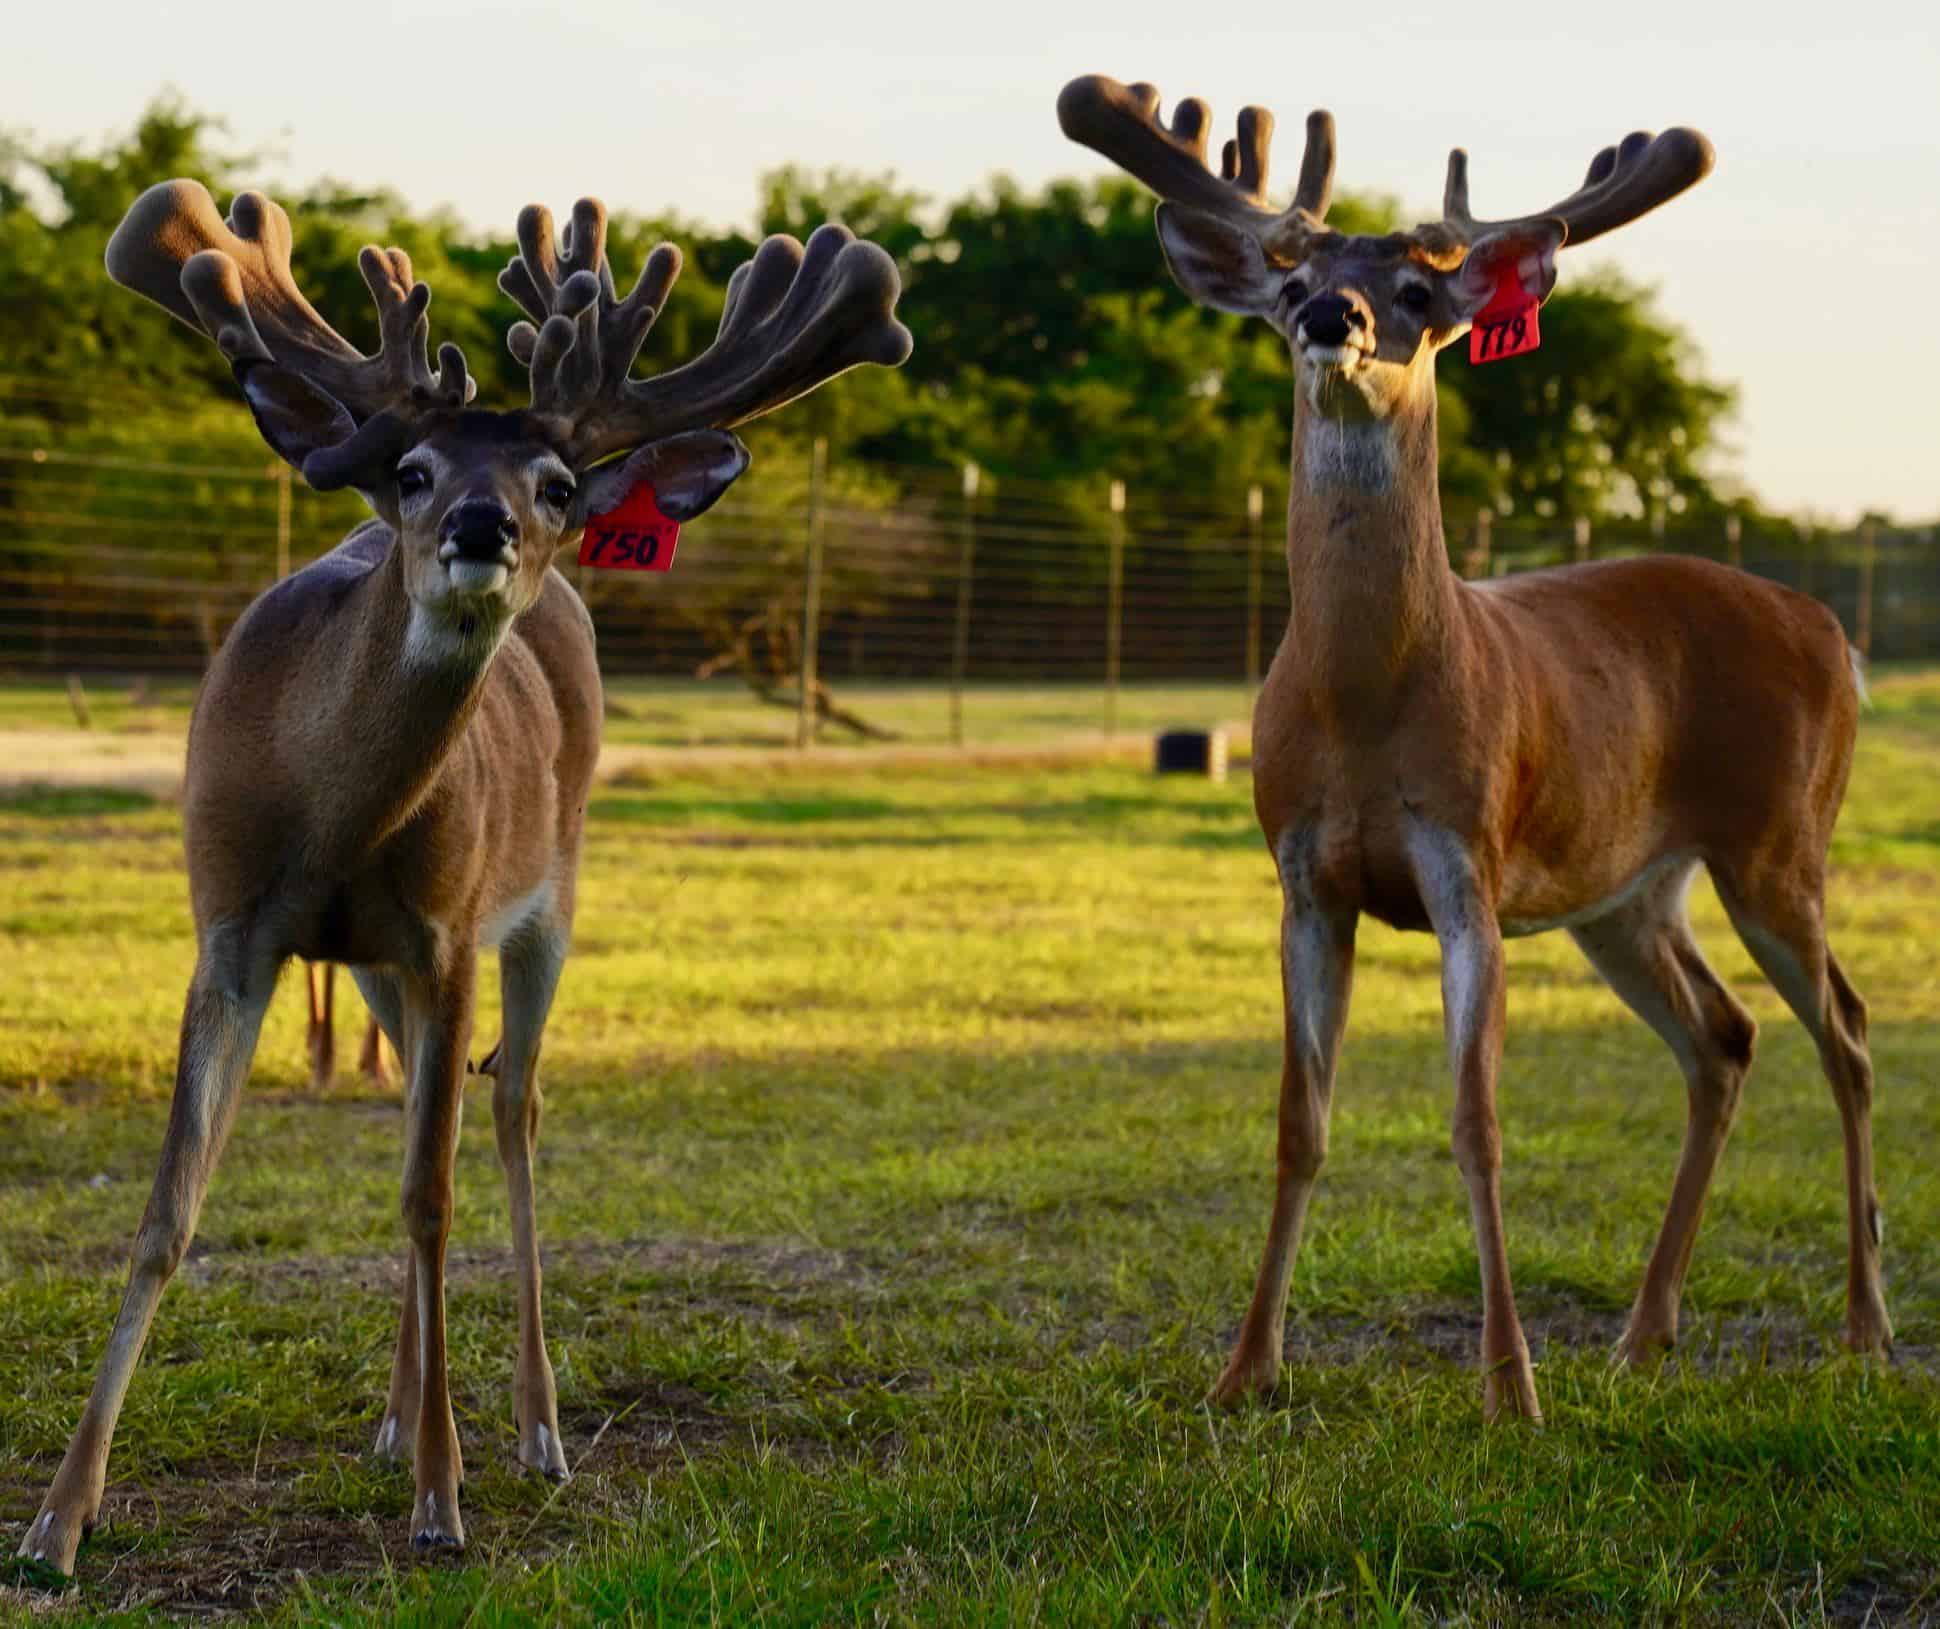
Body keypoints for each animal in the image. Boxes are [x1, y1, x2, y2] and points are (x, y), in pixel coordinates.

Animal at [19, 178, 910, 1575]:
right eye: (413, 470)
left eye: (553, 479)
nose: (482, 526)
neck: (326, 814)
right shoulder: (232, 928)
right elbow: (173, 1205)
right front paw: (58, 1519)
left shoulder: (445, 933)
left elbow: (431, 1202)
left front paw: (443, 1501)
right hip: (380, 969)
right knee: (415, 1114)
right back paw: (392, 1418)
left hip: (550, 892)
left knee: (513, 1111)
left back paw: (534, 1431)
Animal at [1059, 76, 1888, 1422]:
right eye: (1290, 279)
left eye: (1416, 290)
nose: (1332, 316)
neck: (1363, 708)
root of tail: (1831, 629)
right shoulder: (1301, 879)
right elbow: (1299, 1119)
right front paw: (1243, 1370)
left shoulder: (1468, 867)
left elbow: (1475, 1121)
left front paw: (1509, 1388)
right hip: (1626, 891)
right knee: (1721, 1039)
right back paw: (1640, 1335)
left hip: (1778, 839)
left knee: (1848, 1033)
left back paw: (1864, 1329)